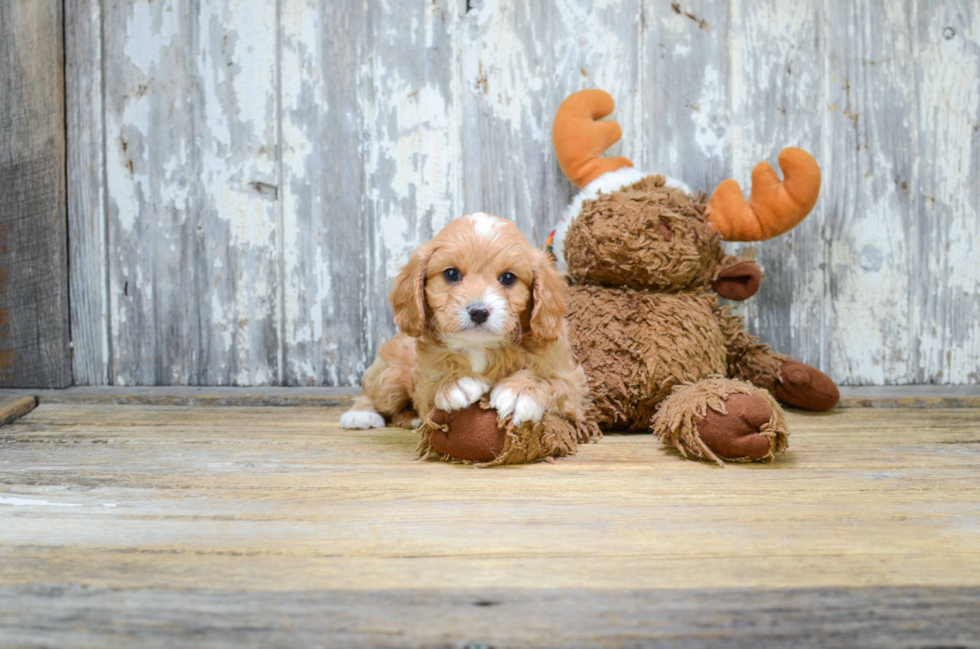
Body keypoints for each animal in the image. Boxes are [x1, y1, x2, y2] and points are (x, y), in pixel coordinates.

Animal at [342, 213, 588, 432]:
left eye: (508, 278)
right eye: (451, 274)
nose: (478, 312)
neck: (480, 347)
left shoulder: (572, 383)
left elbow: (552, 380)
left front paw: (520, 391)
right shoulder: (424, 383)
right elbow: (431, 385)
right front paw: (455, 382)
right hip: (390, 376)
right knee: (373, 392)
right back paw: (361, 414)